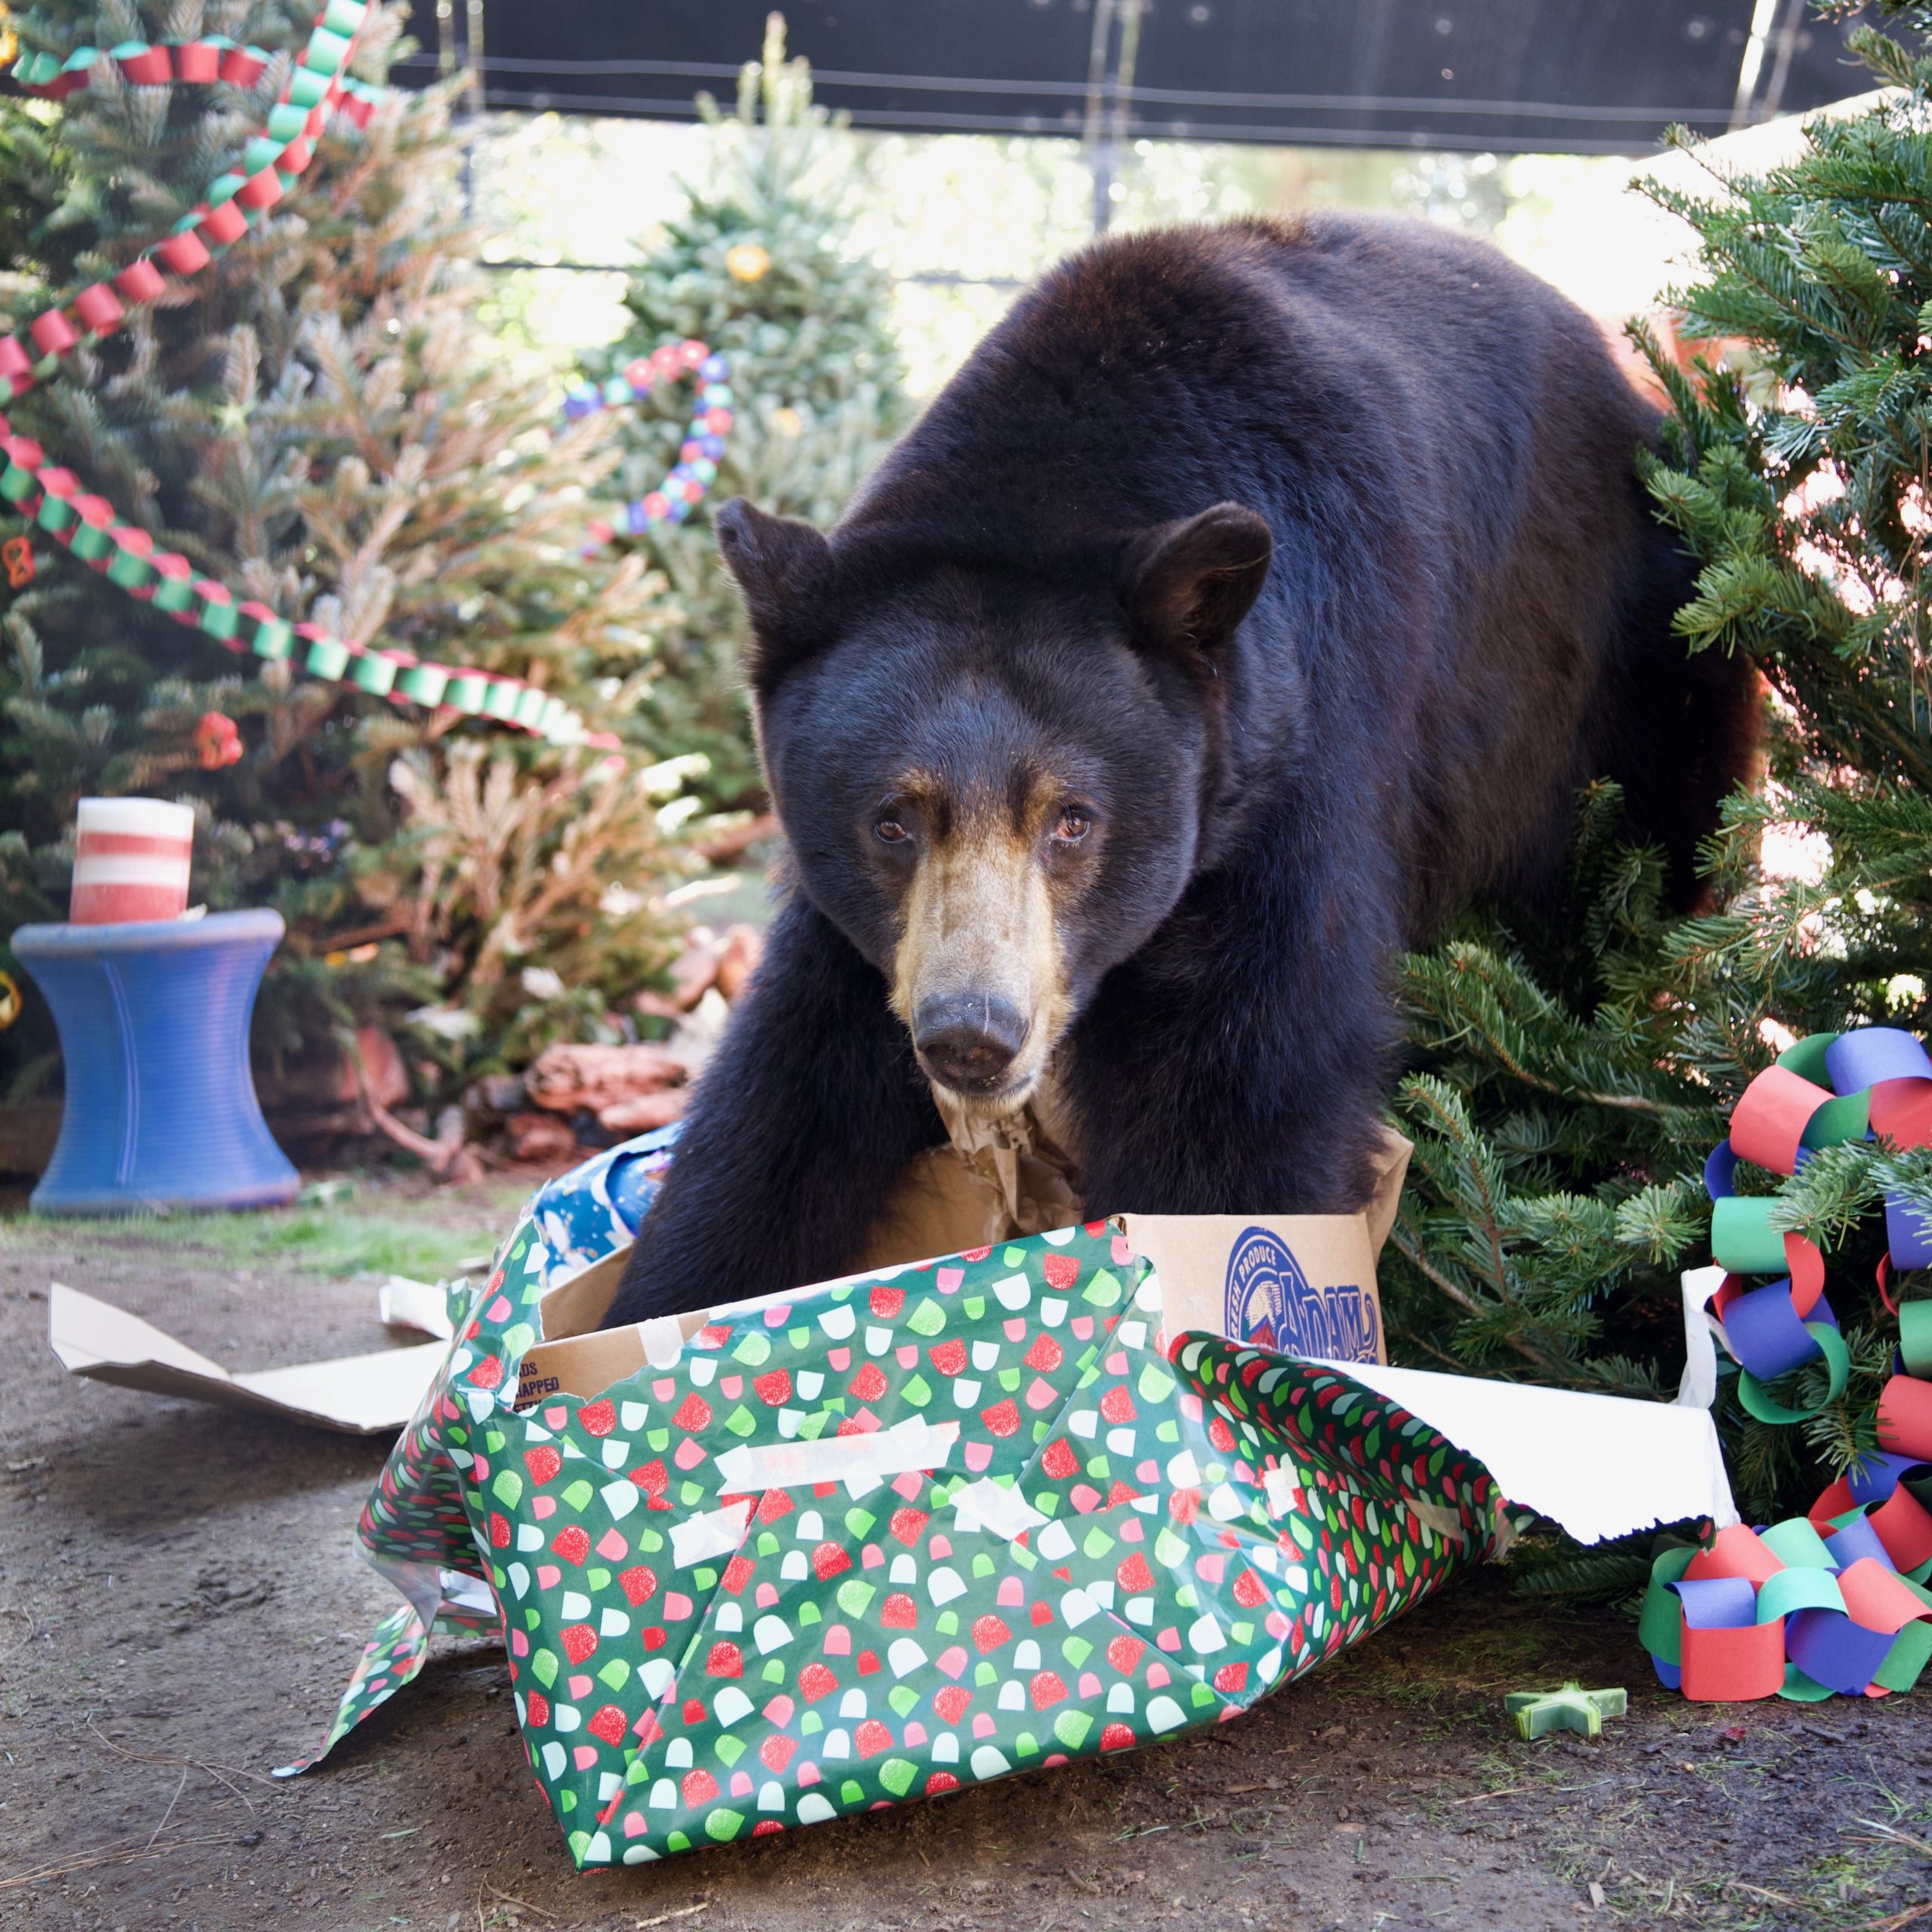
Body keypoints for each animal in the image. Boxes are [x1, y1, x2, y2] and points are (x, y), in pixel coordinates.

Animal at [610, 211, 1761, 1329]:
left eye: (1071, 818)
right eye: (893, 819)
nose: (971, 1037)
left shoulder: (1299, 760)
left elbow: (1240, 1089)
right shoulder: (876, 940)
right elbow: (788, 1089)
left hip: (1624, 688)